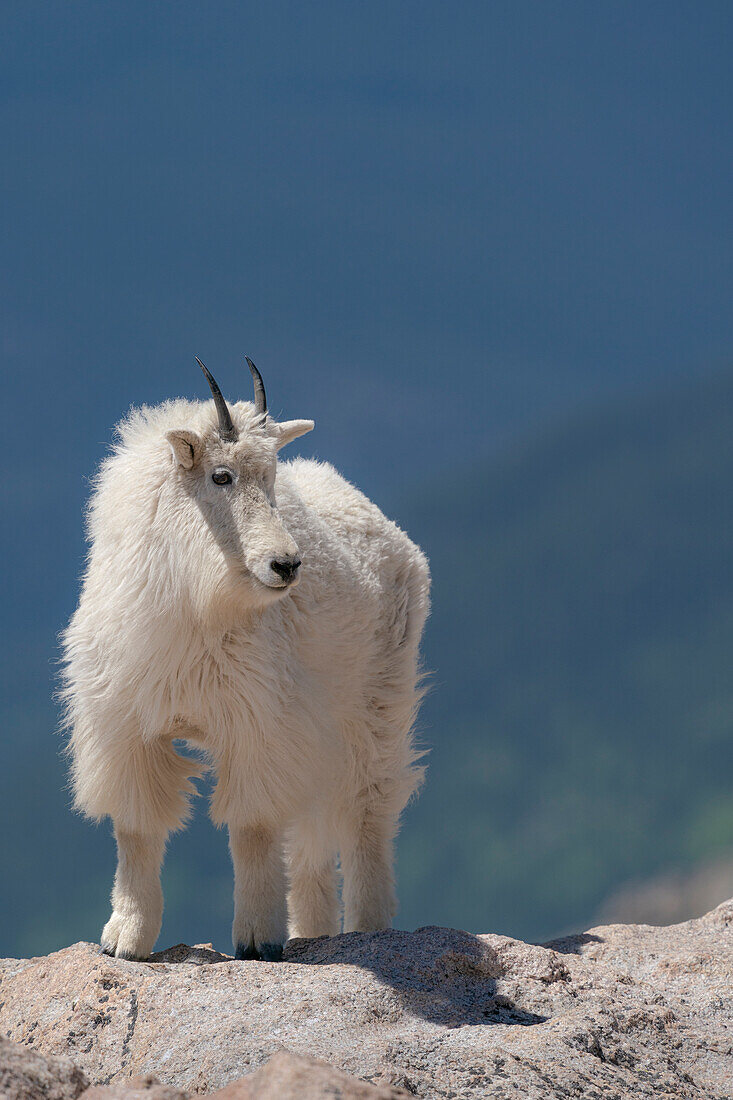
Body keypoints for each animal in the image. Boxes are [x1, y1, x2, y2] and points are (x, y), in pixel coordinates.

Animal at [62, 356, 431, 959]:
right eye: (221, 476)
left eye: (272, 478)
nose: (286, 565)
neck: (194, 606)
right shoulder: (127, 726)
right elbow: (137, 828)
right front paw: (125, 940)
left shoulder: (258, 723)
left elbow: (252, 825)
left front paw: (257, 940)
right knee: (311, 839)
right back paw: (313, 930)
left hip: (376, 702)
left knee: (365, 811)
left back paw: (370, 927)